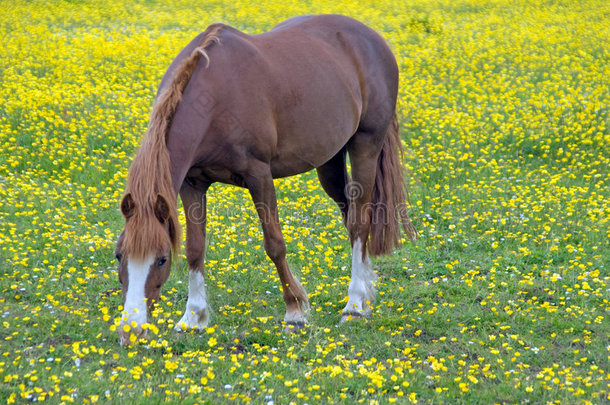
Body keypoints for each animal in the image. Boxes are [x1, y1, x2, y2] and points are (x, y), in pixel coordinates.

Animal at [113, 15, 418, 344]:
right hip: (329, 162)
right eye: (119, 255)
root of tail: (372, 38)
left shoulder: (258, 176)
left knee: (360, 221)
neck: (214, 97)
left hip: (366, 146)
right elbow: (196, 249)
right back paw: (365, 293)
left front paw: (295, 313)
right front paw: (193, 317)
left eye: (161, 259)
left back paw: (355, 305)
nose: (131, 331)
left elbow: (275, 244)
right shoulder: (191, 184)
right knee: (350, 220)